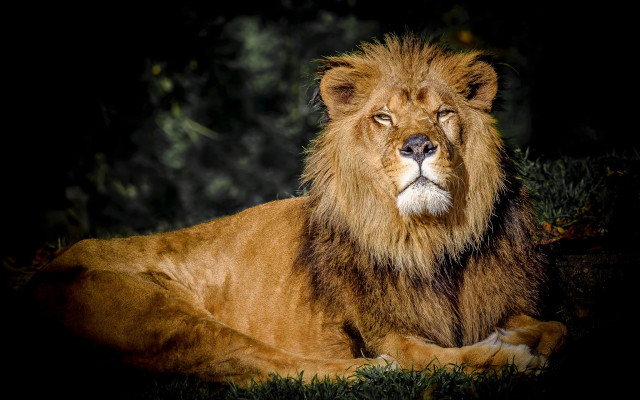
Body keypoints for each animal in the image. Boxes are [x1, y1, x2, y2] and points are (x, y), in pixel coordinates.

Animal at [26, 34, 566, 385]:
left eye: (443, 113)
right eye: (383, 117)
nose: (417, 145)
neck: (432, 239)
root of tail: (44, 269)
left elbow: (557, 328)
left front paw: (527, 338)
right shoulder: (390, 334)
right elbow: (440, 359)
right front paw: (509, 358)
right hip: (165, 314)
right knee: (261, 363)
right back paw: (370, 371)